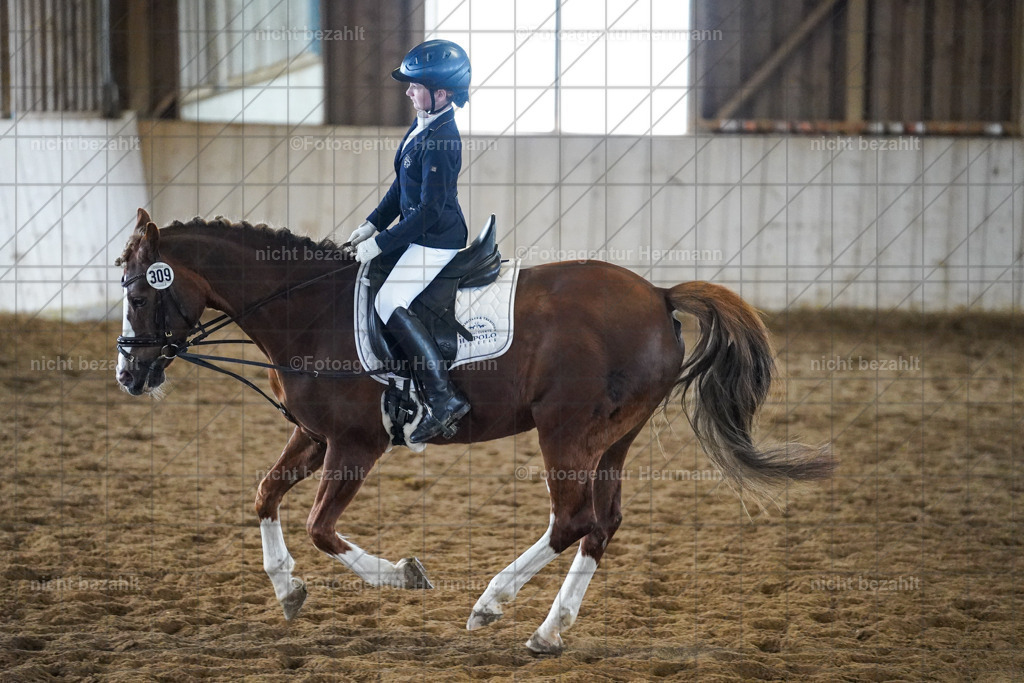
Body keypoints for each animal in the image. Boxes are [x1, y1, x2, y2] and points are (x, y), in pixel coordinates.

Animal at [114, 208, 831, 655]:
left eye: (140, 293)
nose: (128, 374)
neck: (309, 310)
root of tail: (657, 295)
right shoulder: (315, 435)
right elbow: (264, 496)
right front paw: (288, 591)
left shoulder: (356, 443)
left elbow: (320, 526)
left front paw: (405, 575)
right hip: (612, 440)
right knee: (599, 525)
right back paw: (547, 631)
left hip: (565, 429)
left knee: (573, 518)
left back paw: (492, 603)